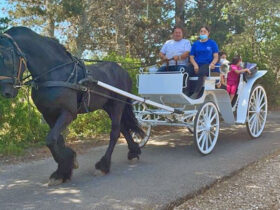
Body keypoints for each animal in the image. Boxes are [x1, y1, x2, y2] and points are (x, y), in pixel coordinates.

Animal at [0, 26, 143, 185]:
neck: (55, 74)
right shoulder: (48, 114)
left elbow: (51, 140)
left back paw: (103, 165)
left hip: (118, 104)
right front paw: (64, 167)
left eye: (6, 58)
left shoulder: (68, 113)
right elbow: (58, 140)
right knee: (124, 128)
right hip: (109, 106)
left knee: (115, 132)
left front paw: (67, 164)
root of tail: (123, 70)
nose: (6, 92)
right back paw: (133, 152)